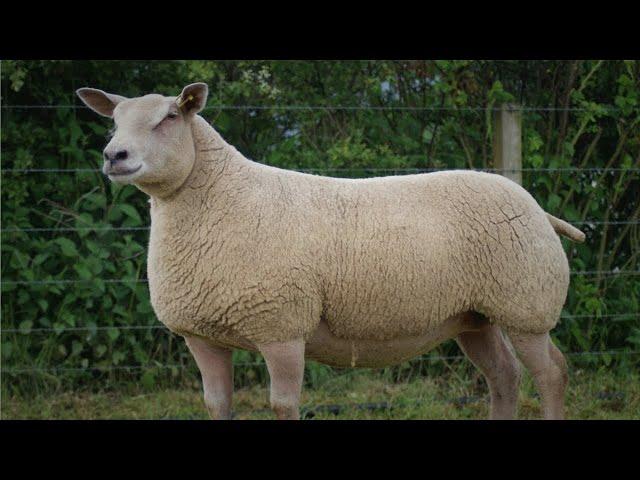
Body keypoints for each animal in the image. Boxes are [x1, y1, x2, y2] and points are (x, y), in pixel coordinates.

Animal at [76, 83, 584, 420]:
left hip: (526, 303)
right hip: (474, 314)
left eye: (169, 118)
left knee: (552, 375)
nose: (114, 156)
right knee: (504, 376)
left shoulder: (282, 326)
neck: (225, 198)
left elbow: (282, 406)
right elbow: (216, 405)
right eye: (114, 122)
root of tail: (534, 205)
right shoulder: (202, 336)